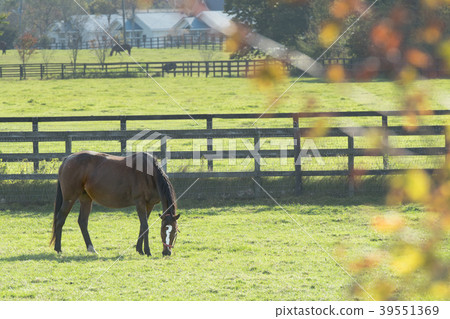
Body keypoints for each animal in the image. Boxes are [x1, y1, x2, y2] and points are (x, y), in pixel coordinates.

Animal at [49, 152, 179, 258]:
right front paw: (147, 251)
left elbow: (142, 226)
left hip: (86, 199)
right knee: (60, 219)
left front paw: (139, 250)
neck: (149, 174)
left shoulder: (149, 205)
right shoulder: (140, 203)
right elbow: (145, 226)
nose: (167, 252)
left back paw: (91, 249)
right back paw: (58, 249)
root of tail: (68, 159)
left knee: (82, 222)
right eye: (163, 230)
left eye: (175, 231)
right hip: (69, 199)